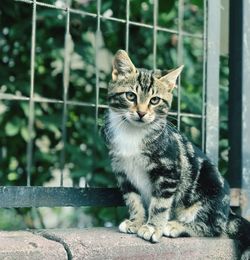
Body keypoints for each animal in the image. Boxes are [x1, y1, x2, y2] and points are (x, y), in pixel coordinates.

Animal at [101, 49, 250, 258]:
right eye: (130, 96)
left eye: (155, 100)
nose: (141, 113)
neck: (133, 133)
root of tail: (228, 213)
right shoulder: (123, 172)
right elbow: (133, 199)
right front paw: (136, 221)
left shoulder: (169, 170)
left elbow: (160, 203)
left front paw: (153, 227)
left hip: (210, 186)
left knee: (215, 228)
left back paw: (176, 226)